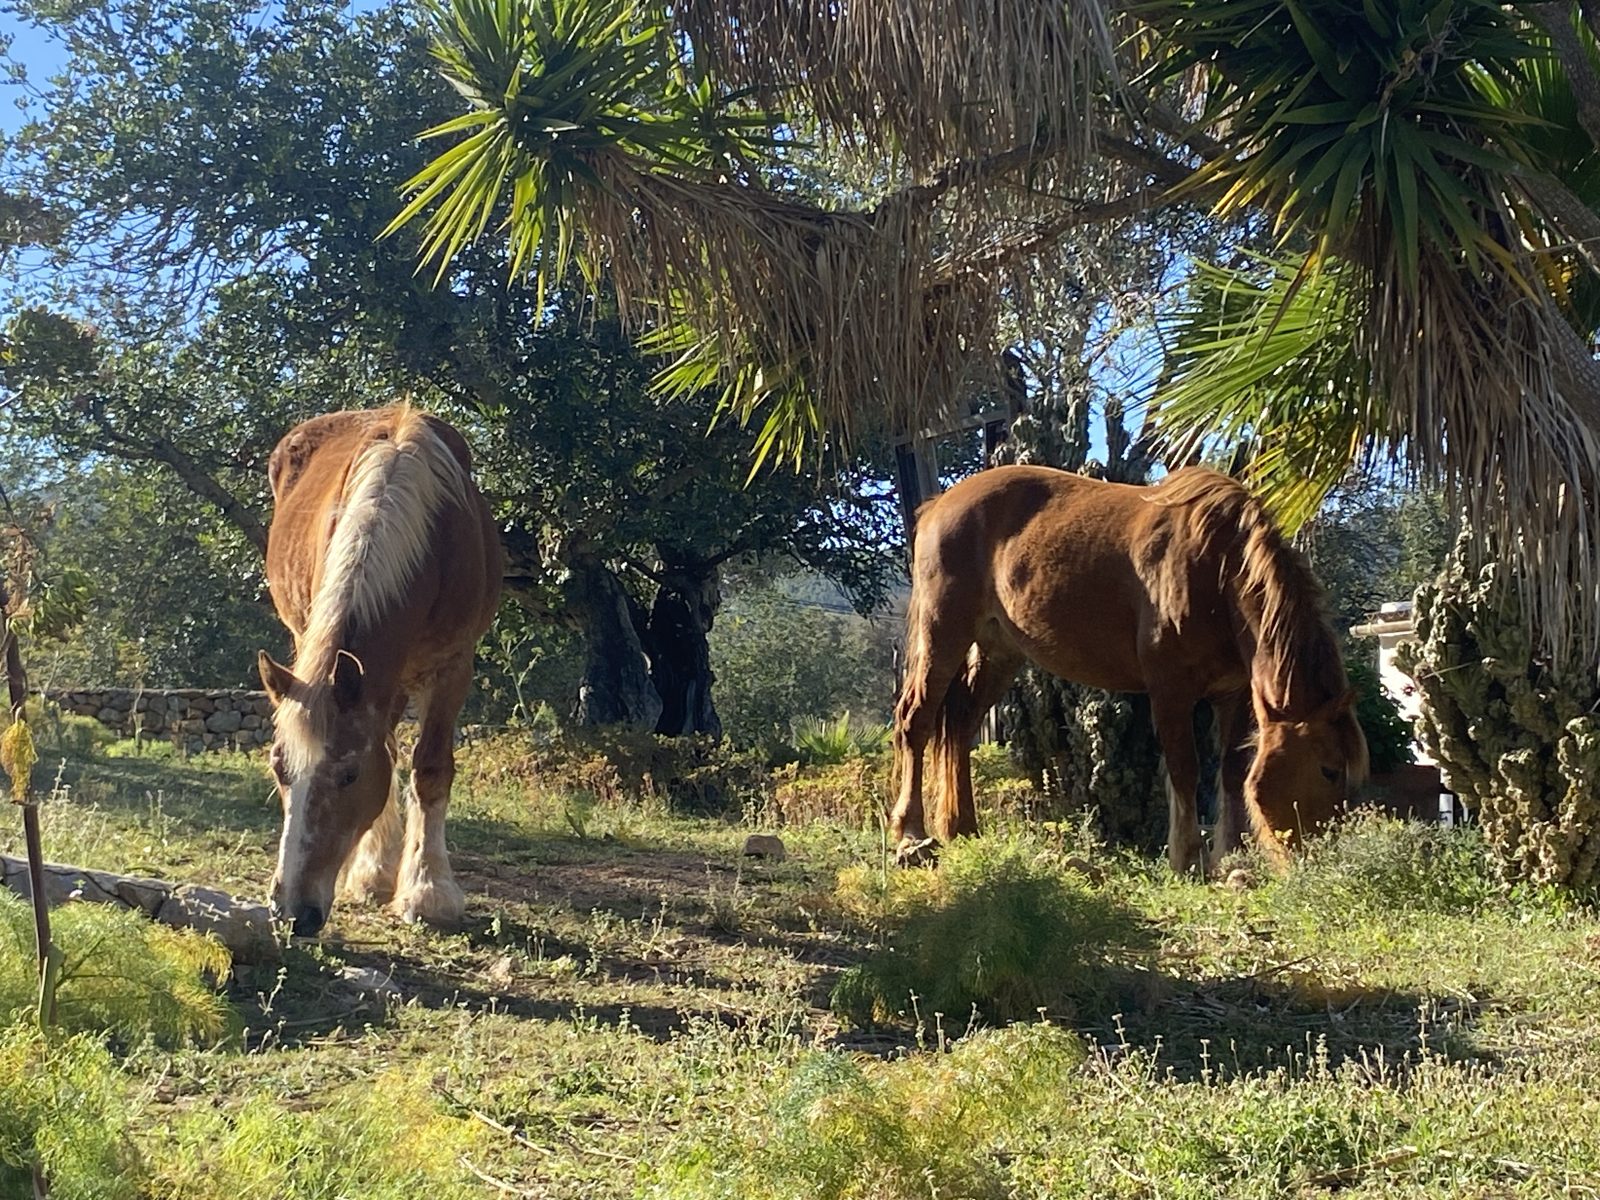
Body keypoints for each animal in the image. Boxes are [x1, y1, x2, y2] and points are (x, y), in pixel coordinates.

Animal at [256, 404, 502, 935]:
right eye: (279, 770)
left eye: (349, 776)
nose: (291, 912)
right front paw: (379, 874)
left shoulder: (453, 666)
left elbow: (430, 768)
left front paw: (430, 892)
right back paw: (375, 870)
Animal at [888, 464, 1367, 874]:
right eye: (1329, 769)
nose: (1323, 859)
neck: (1216, 568)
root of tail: (937, 505)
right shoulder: (1170, 689)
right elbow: (1185, 769)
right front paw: (1187, 858)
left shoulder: (1231, 694)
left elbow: (1231, 773)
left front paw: (1227, 855)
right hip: (943, 633)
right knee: (916, 720)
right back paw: (910, 832)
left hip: (999, 651)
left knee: (959, 726)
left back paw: (962, 827)